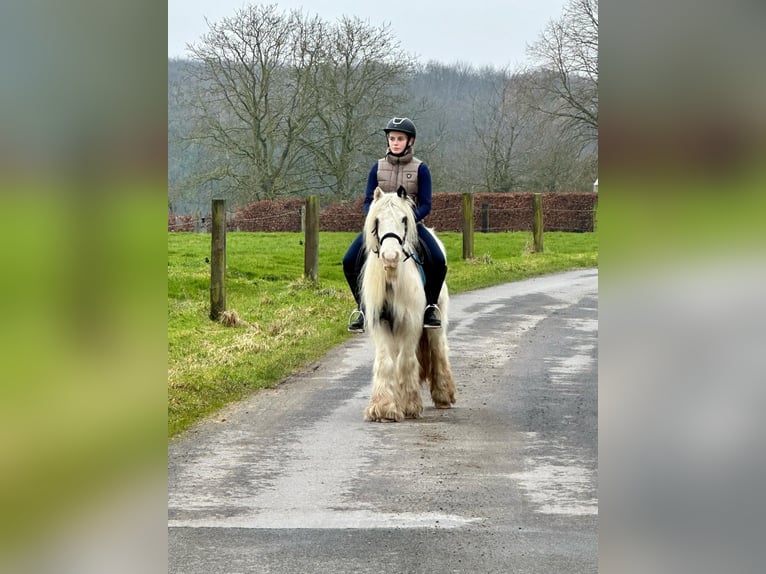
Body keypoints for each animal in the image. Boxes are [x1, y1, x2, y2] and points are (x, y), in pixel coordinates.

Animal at [360, 188, 456, 424]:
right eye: (376, 220)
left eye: (404, 219)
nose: (390, 257)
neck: (393, 279)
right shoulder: (381, 324)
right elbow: (386, 362)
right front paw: (383, 408)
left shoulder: (411, 323)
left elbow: (405, 362)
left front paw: (410, 405)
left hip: (436, 324)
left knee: (438, 350)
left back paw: (443, 395)